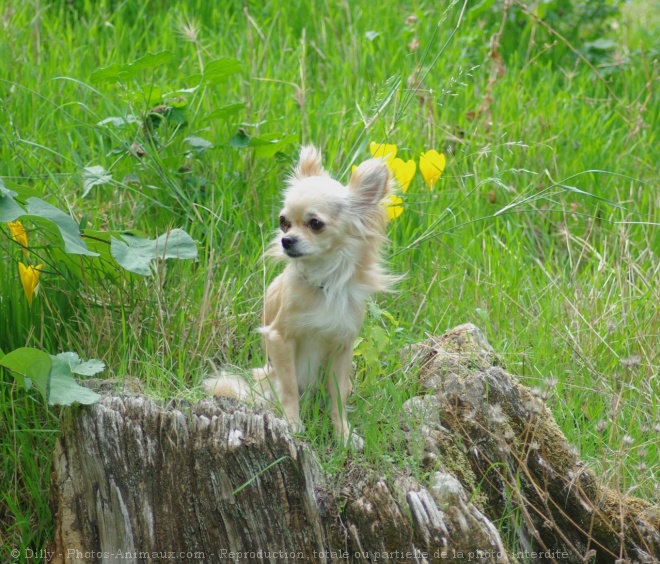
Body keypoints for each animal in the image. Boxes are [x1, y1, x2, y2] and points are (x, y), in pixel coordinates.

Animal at [202, 145, 392, 446]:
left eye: (315, 223)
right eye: (283, 222)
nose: (286, 240)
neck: (324, 282)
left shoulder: (342, 349)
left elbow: (338, 397)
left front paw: (344, 434)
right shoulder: (280, 339)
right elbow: (290, 387)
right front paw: (293, 423)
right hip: (266, 377)